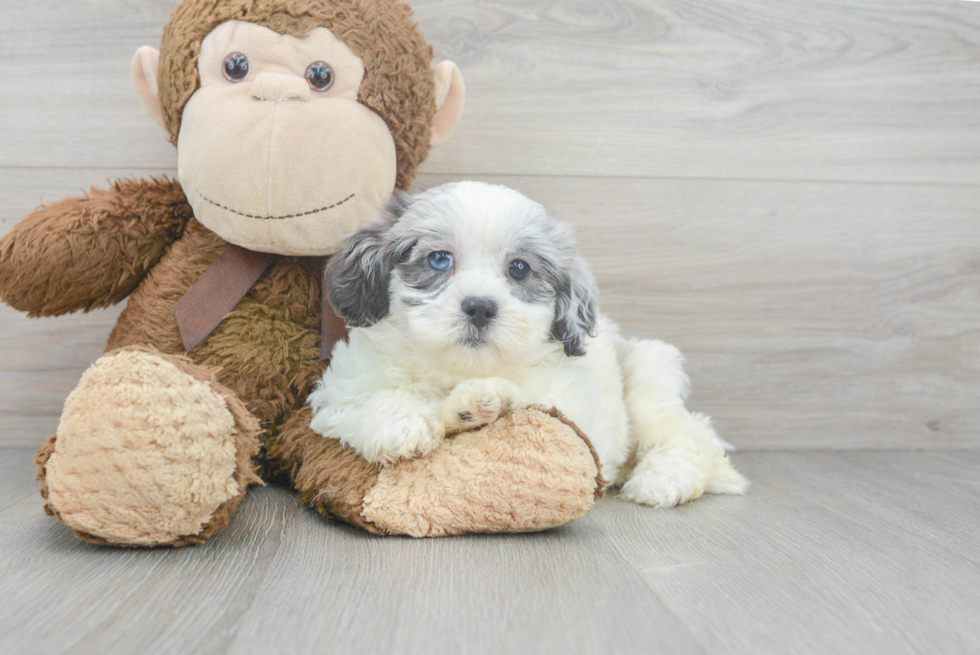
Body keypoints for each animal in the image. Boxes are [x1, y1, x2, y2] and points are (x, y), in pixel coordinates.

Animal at [310, 182, 748, 510]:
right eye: (438, 260)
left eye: (519, 268)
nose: (480, 306)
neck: (458, 369)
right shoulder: (338, 395)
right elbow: (368, 401)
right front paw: (402, 423)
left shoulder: (575, 409)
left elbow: (540, 406)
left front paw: (486, 398)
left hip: (647, 373)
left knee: (687, 433)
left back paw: (663, 480)